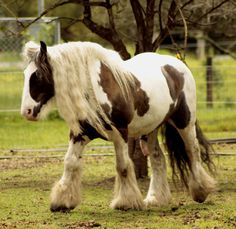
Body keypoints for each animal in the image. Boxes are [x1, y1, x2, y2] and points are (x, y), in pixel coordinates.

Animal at [20, 40, 216, 212]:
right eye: (25, 74)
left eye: (37, 75)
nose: (26, 112)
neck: (96, 90)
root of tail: (177, 64)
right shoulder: (80, 135)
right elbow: (70, 162)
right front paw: (62, 202)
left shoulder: (121, 134)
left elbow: (122, 166)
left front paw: (126, 202)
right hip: (150, 130)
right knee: (158, 158)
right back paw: (155, 199)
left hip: (185, 122)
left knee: (192, 151)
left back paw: (200, 191)